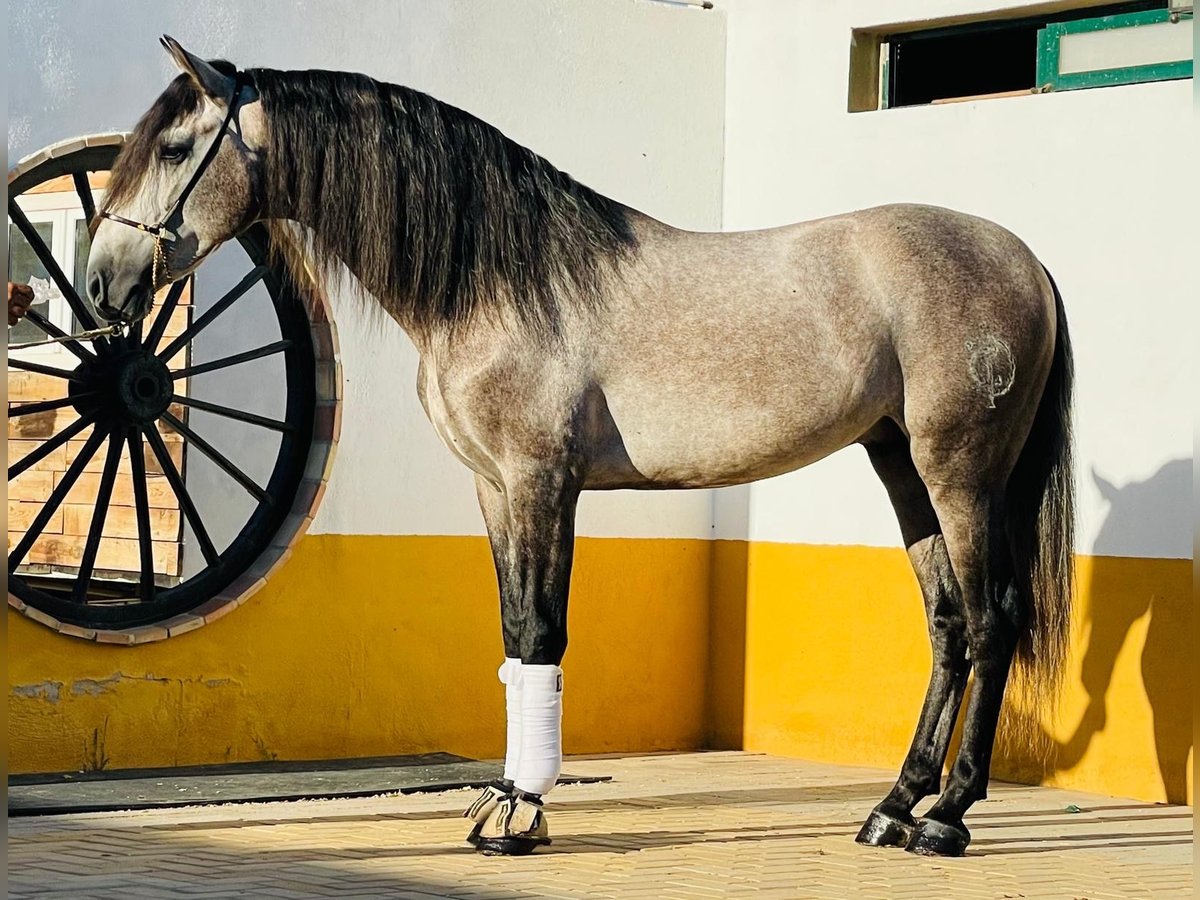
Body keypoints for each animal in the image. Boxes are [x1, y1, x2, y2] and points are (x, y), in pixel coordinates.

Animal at [88, 37, 1075, 859]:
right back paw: (893, 807)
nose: (103, 283)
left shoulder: (542, 481)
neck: (499, 280)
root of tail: (1025, 260)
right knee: (948, 625)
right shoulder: (492, 488)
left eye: (173, 149)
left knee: (992, 620)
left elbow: (542, 630)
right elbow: (511, 632)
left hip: (961, 471)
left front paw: (521, 813)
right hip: (899, 462)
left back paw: (948, 818)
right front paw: (501, 799)